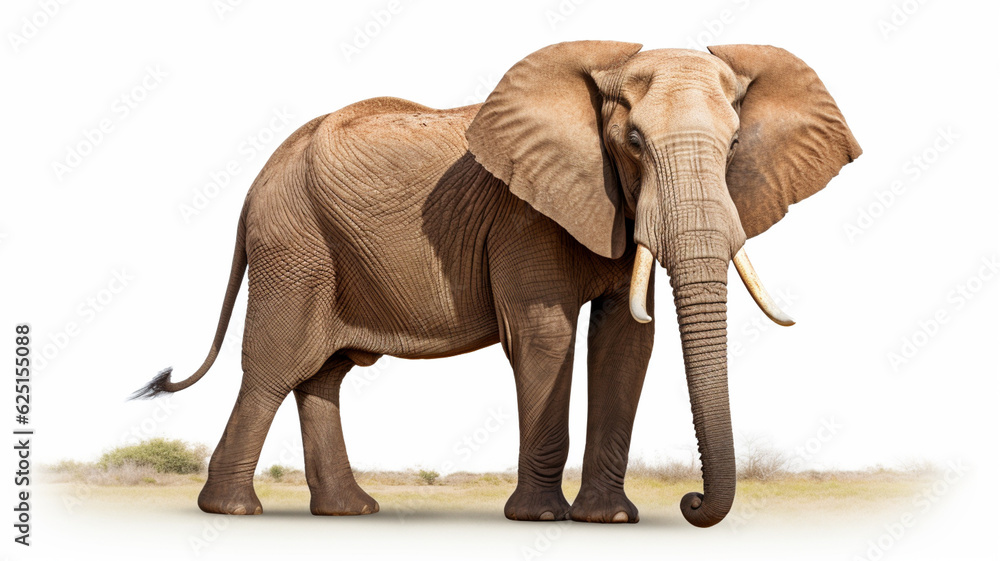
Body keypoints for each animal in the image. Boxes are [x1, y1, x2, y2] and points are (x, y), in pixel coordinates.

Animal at [134, 40, 860, 527]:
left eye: (735, 144)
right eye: (632, 141)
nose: (690, 501)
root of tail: (256, 181)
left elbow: (625, 341)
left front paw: (609, 520)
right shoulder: (523, 213)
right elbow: (545, 335)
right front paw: (540, 518)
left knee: (325, 374)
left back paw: (350, 511)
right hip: (293, 246)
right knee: (275, 366)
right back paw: (232, 510)